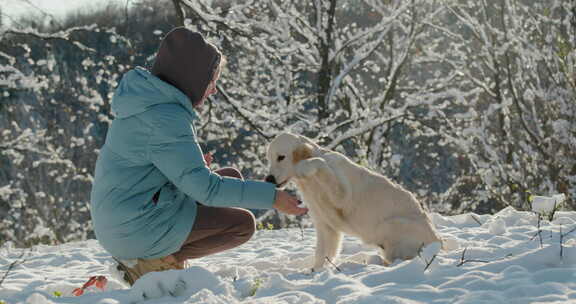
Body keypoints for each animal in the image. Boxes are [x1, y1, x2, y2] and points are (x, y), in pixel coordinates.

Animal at [266, 132, 440, 270]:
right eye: (270, 159)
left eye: (281, 157)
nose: (268, 179)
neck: (310, 183)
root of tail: (438, 241)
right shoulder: (325, 225)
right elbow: (322, 253)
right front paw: (315, 272)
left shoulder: (342, 194)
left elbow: (320, 164)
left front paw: (304, 166)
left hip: (392, 223)